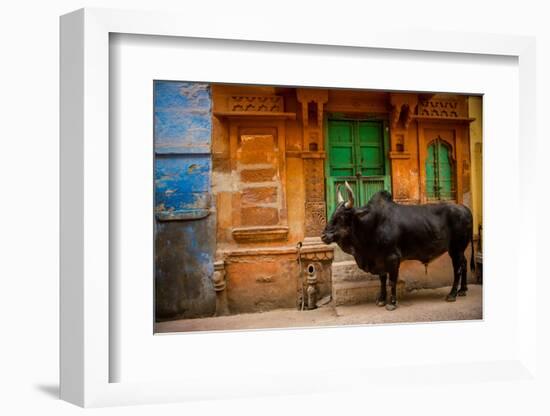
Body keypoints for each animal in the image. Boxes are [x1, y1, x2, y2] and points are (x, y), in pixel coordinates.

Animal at [324, 180, 474, 310]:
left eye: (341, 217)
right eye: (333, 214)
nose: (324, 235)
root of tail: (465, 209)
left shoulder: (393, 258)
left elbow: (392, 281)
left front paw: (392, 303)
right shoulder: (380, 259)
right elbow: (382, 280)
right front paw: (381, 300)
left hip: (456, 249)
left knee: (458, 269)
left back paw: (452, 294)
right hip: (460, 249)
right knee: (464, 263)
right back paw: (463, 290)